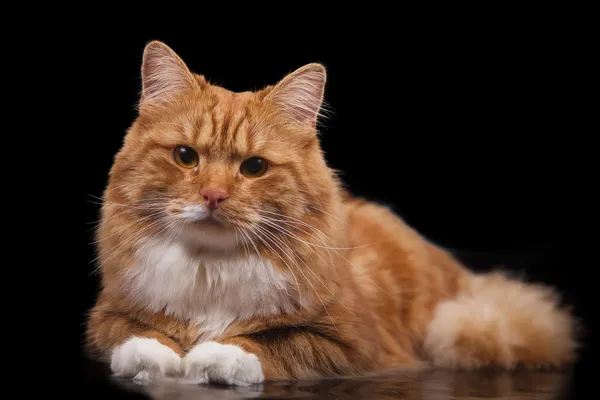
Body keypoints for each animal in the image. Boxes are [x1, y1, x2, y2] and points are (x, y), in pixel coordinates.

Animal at [84, 39, 576, 384]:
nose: (213, 196)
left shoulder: (354, 345)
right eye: (186, 157)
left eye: (254, 167)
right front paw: (155, 357)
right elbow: (133, 335)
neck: (213, 269)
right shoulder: (109, 314)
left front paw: (215, 356)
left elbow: (277, 343)